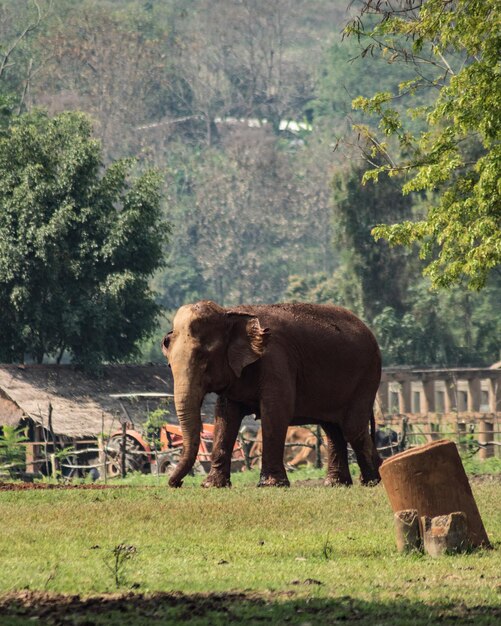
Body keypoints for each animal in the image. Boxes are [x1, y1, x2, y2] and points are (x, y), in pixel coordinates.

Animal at [162, 302, 380, 488]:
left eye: (202, 357)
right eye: (169, 364)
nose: (176, 483)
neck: (231, 313)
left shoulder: (276, 359)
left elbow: (276, 412)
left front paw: (271, 484)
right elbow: (225, 417)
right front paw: (212, 485)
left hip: (367, 377)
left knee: (352, 428)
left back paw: (372, 480)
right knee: (333, 429)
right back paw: (337, 483)